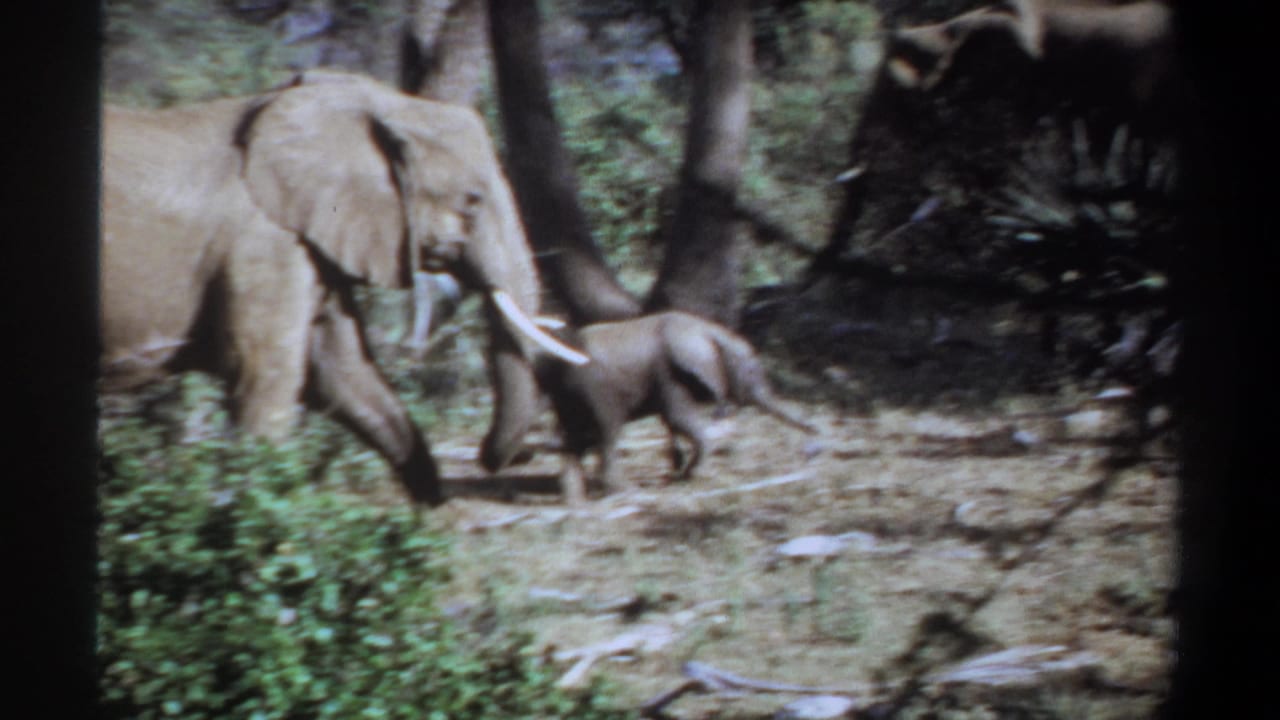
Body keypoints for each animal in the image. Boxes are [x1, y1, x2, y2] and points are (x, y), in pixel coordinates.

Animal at [101, 70, 588, 506]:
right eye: (473, 200)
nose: (514, 457)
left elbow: (341, 371)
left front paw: (429, 520)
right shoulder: (265, 244)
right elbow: (266, 376)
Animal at [534, 311, 816, 502]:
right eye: (750, 372)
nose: (816, 438)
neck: (708, 329)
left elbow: (673, 423)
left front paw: (679, 470)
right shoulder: (671, 372)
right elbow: (679, 418)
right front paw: (691, 476)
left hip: (570, 398)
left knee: (576, 440)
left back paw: (575, 502)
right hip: (596, 391)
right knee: (607, 432)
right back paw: (626, 493)